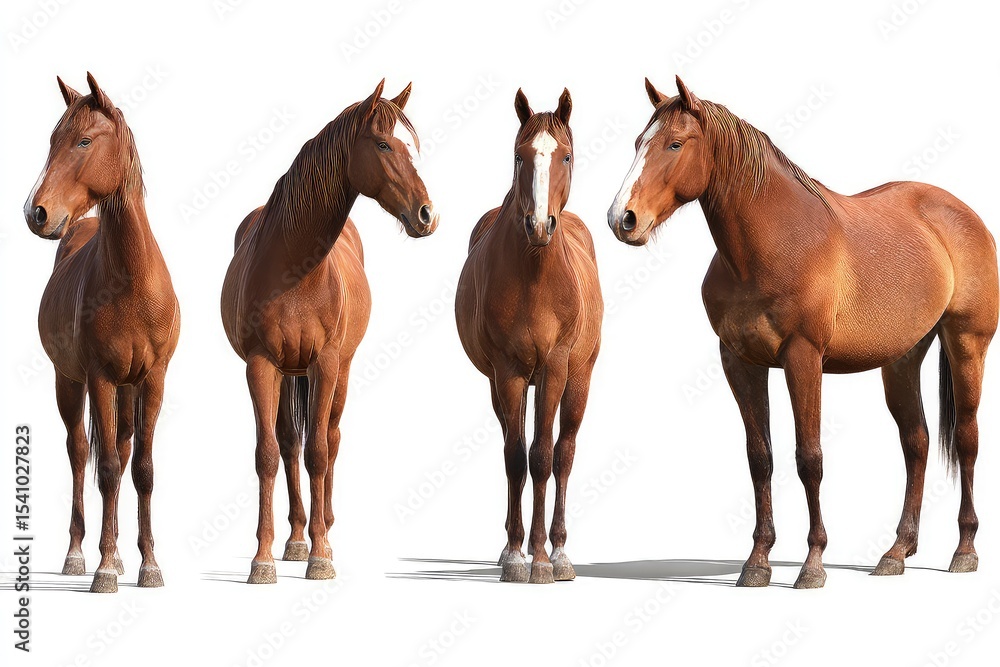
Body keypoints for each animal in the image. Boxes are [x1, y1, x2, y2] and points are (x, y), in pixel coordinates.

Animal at [24, 74, 181, 594]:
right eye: (53, 140)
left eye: (84, 141)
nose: (36, 213)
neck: (132, 283)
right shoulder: (100, 378)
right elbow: (106, 468)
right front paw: (105, 568)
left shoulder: (152, 380)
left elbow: (143, 470)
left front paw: (149, 565)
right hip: (69, 383)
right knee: (79, 454)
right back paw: (79, 554)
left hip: (127, 391)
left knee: (125, 451)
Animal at [221, 80, 438, 584]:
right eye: (383, 144)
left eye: (413, 146)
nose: (426, 215)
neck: (294, 268)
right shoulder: (261, 365)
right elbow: (268, 454)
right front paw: (264, 559)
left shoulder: (325, 363)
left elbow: (319, 451)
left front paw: (321, 557)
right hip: (287, 373)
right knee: (288, 444)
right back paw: (296, 537)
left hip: (341, 368)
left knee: (332, 439)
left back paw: (324, 532)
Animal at [456, 89, 603, 584]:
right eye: (520, 156)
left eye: (566, 155)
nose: (539, 225)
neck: (536, 275)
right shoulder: (509, 372)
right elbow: (516, 457)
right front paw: (517, 554)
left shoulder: (554, 366)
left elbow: (542, 457)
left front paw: (541, 558)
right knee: (511, 446)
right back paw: (510, 545)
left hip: (578, 378)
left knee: (564, 453)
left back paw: (560, 551)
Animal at [607, 76, 999, 588]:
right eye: (638, 143)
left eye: (675, 143)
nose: (622, 219)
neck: (773, 244)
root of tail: (962, 213)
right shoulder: (740, 362)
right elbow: (761, 459)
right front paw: (757, 562)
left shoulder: (803, 359)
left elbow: (808, 458)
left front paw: (812, 564)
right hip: (902, 359)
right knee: (916, 442)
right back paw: (896, 552)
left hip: (966, 344)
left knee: (968, 440)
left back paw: (964, 550)